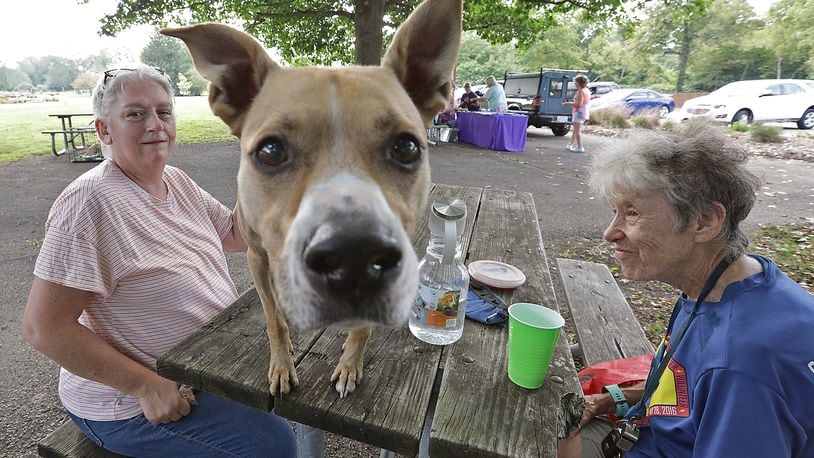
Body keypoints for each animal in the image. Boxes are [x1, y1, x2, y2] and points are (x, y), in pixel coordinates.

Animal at [163, 0, 462, 396]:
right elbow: (273, 319)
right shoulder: (258, 256)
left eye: (407, 147)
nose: (354, 256)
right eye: (270, 150)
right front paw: (281, 364)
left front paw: (350, 364)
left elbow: (361, 328)